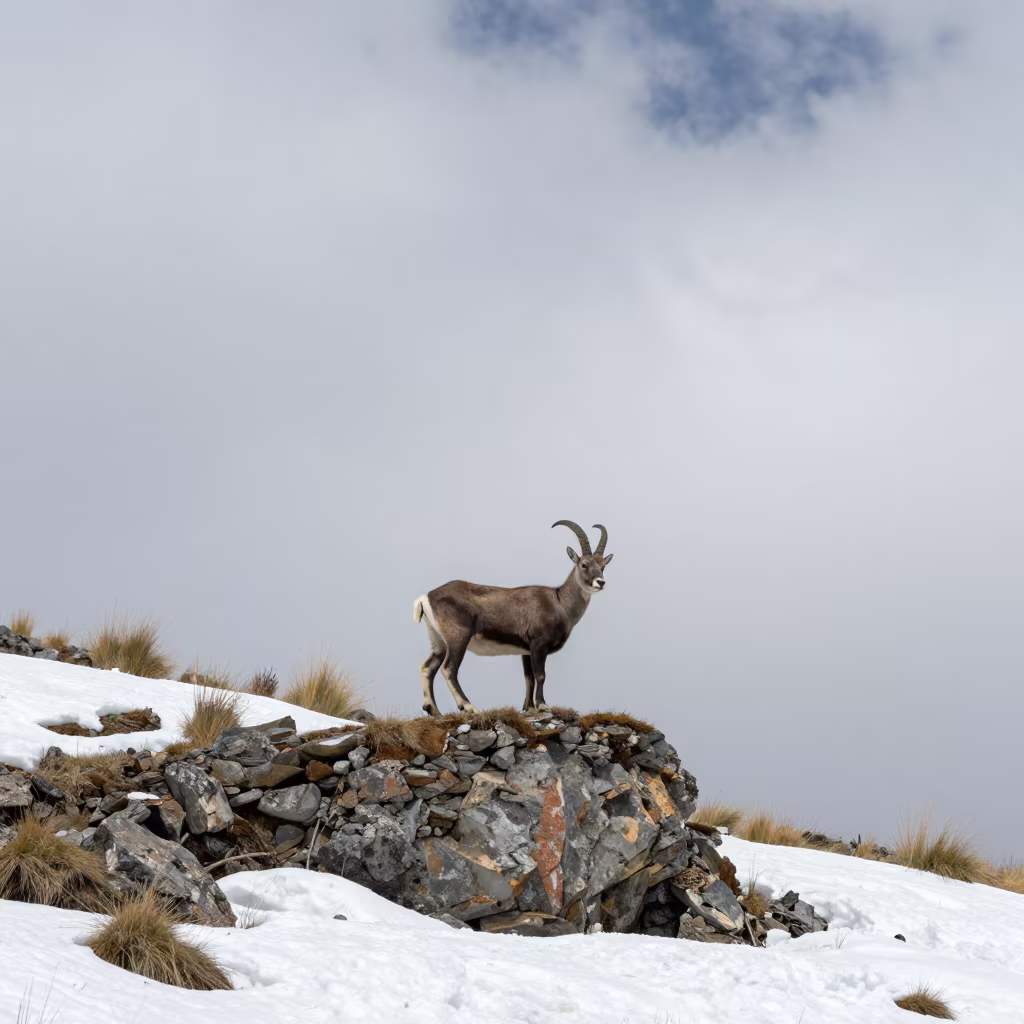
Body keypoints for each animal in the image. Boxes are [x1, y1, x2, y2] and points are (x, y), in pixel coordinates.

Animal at [413, 520, 613, 716]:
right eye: (584, 564)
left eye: (602, 566)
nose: (600, 582)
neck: (559, 603)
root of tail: (426, 597)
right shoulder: (538, 644)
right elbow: (541, 675)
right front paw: (542, 705)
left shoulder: (526, 650)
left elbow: (529, 678)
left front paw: (528, 707)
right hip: (457, 638)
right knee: (449, 668)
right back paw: (468, 707)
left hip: (438, 641)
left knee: (428, 668)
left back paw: (434, 710)